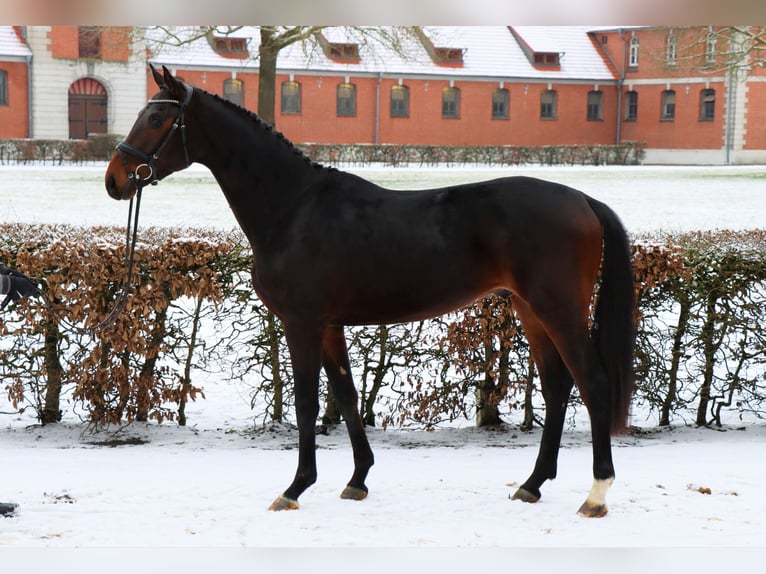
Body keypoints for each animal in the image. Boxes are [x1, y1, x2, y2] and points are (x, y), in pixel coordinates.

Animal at [106, 65, 636, 520]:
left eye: (157, 118)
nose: (114, 179)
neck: (293, 208)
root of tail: (582, 200)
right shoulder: (330, 325)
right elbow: (345, 394)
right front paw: (357, 479)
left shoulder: (301, 322)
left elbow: (307, 402)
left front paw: (295, 488)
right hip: (530, 310)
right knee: (557, 386)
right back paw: (532, 484)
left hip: (558, 308)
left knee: (593, 382)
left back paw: (596, 494)